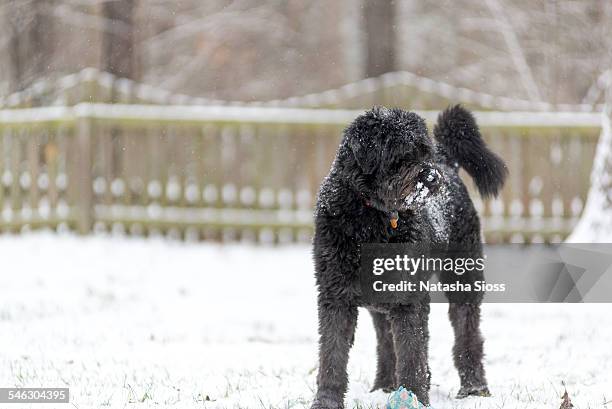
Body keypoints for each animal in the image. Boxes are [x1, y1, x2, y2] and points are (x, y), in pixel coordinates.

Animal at [310, 106, 506, 408]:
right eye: (401, 154)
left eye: (424, 151)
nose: (432, 177)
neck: (371, 218)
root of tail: (448, 164)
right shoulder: (335, 294)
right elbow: (332, 354)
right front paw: (326, 401)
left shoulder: (409, 297)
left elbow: (412, 352)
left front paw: (414, 396)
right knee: (386, 341)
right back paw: (384, 386)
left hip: (463, 279)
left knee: (467, 332)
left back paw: (474, 387)